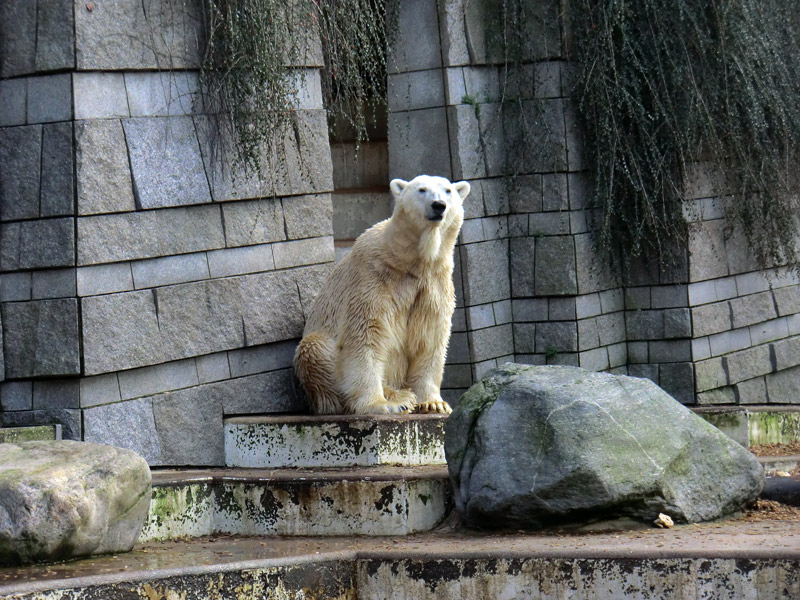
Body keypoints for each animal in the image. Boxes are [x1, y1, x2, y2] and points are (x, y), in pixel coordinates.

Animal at [292, 176, 468, 414]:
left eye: (448, 190)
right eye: (422, 190)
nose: (439, 205)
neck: (412, 262)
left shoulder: (433, 285)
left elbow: (430, 337)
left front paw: (434, 403)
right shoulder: (374, 278)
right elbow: (366, 334)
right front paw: (380, 404)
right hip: (320, 355)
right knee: (316, 348)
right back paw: (398, 397)